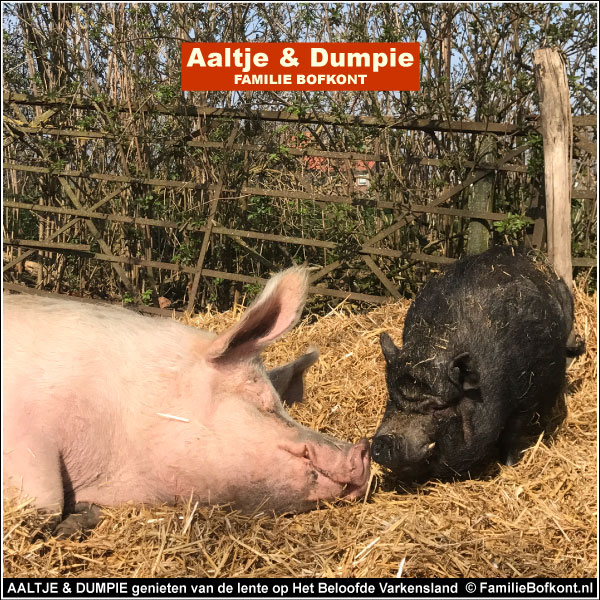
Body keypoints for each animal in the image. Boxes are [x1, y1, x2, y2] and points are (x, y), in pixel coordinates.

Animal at [372, 246, 584, 480]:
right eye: (392, 397)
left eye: (439, 408)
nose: (382, 442)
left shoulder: (523, 399)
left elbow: (512, 434)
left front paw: (508, 466)